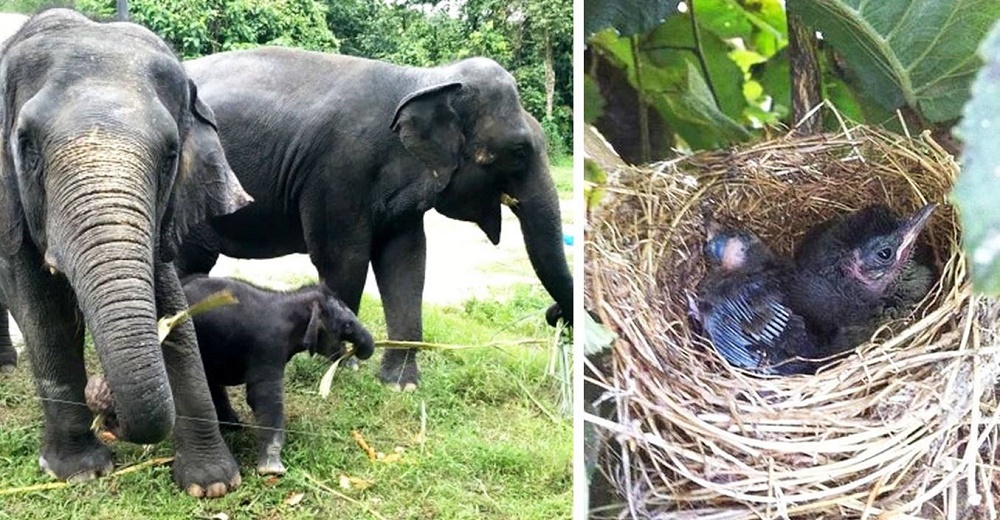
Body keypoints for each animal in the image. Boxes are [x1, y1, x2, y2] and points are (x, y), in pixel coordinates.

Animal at [0, 8, 252, 496]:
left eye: (170, 155)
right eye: (27, 147)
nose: (107, 405)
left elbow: (171, 305)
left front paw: (212, 483)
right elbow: (43, 313)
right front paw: (79, 471)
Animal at [176, 47, 576, 390]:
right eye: (518, 151)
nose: (555, 315)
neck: (425, 79)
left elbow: (406, 260)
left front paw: (401, 384)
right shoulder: (339, 169)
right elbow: (344, 258)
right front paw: (342, 365)